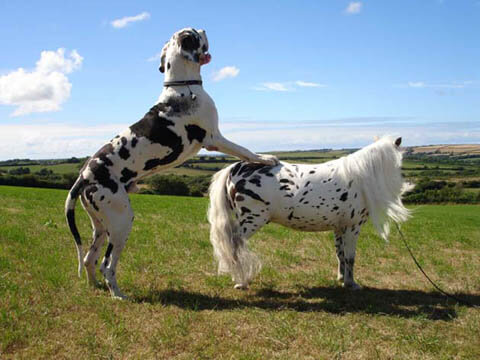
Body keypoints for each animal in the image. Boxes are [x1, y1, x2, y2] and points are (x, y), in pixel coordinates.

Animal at [65, 27, 280, 298]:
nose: (204, 28)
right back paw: (118, 295)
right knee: (106, 265)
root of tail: (83, 176)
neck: (184, 86)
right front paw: (265, 158)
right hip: (121, 222)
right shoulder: (215, 138)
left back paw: (95, 287)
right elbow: (244, 150)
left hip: (101, 226)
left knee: (88, 259)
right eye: (194, 33)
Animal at [207, 135, 412, 290]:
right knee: (234, 247)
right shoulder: (352, 227)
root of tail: (235, 167)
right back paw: (241, 282)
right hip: (252, 220)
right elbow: (350, 256)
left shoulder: (340, 227)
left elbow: (340, 254)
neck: (359, 177)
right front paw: (351, 284)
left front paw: (341, 278)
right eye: (400, 158)